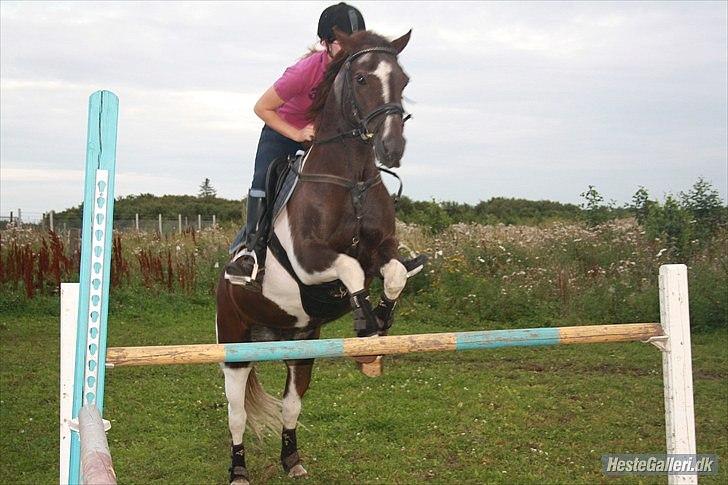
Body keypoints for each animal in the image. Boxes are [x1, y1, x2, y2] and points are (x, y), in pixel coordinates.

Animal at [216, 28, 412, 484]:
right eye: (361, 78)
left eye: (404, 80)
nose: (392, 148)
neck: (351, 179)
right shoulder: (310, 260)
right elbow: (351, 269)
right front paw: (365, 322)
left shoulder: (382, 249)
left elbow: (393, 273)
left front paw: (382, 322)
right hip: (234, 343)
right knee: (236, 414)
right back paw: (238, 469)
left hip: (301, 343)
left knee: (291, 405)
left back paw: (292, 459)